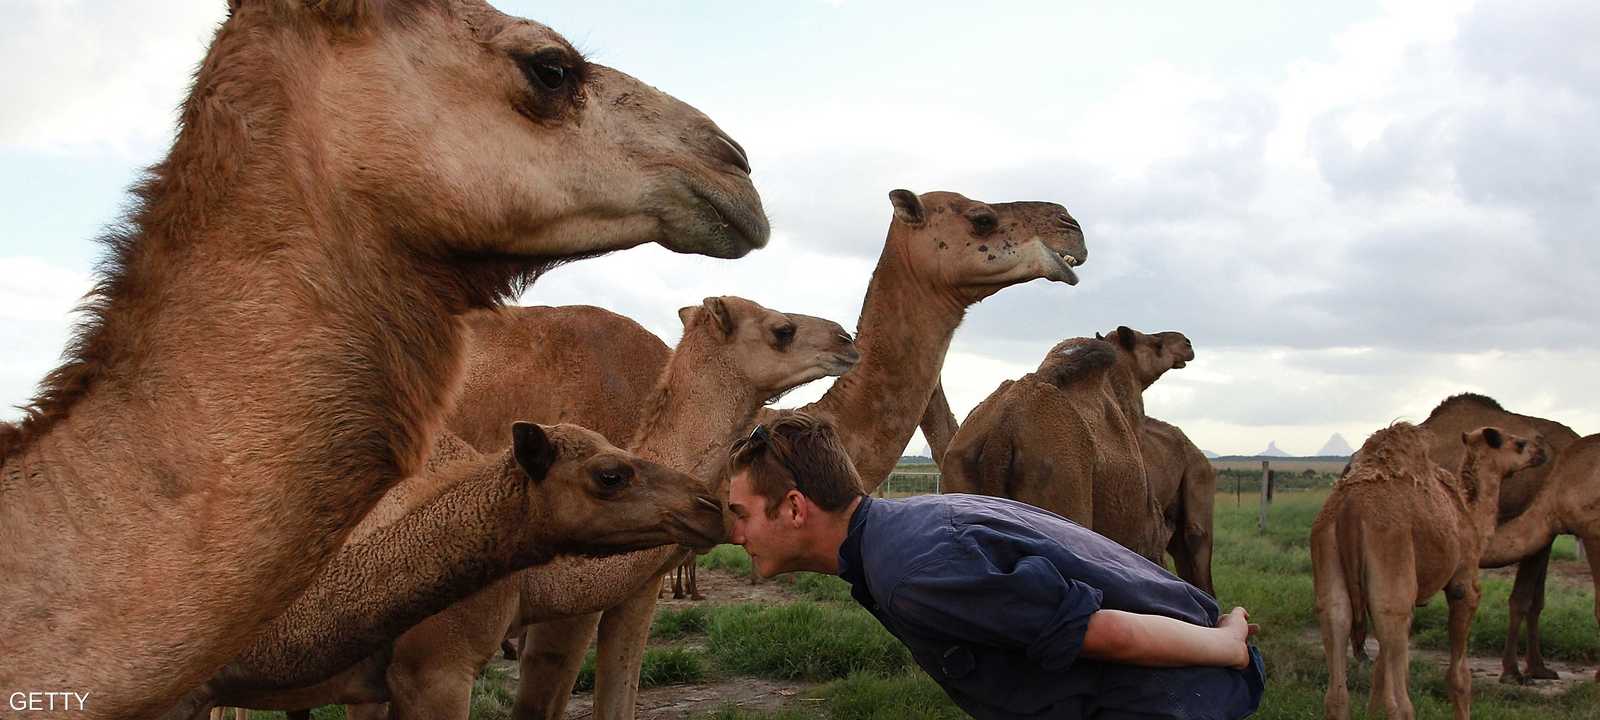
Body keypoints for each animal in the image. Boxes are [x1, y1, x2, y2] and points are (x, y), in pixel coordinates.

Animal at [1312, 422, 1548, 720]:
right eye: (1518, 443)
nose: (1542, 451)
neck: (1469, 512)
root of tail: (1349, 511)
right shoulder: (1464, 582)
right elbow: (1459, 677)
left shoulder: (1411, 602)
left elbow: (1379, 673)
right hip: (1392, 565)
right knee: (1400, 704)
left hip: (1330, 568)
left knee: (1337, 685)